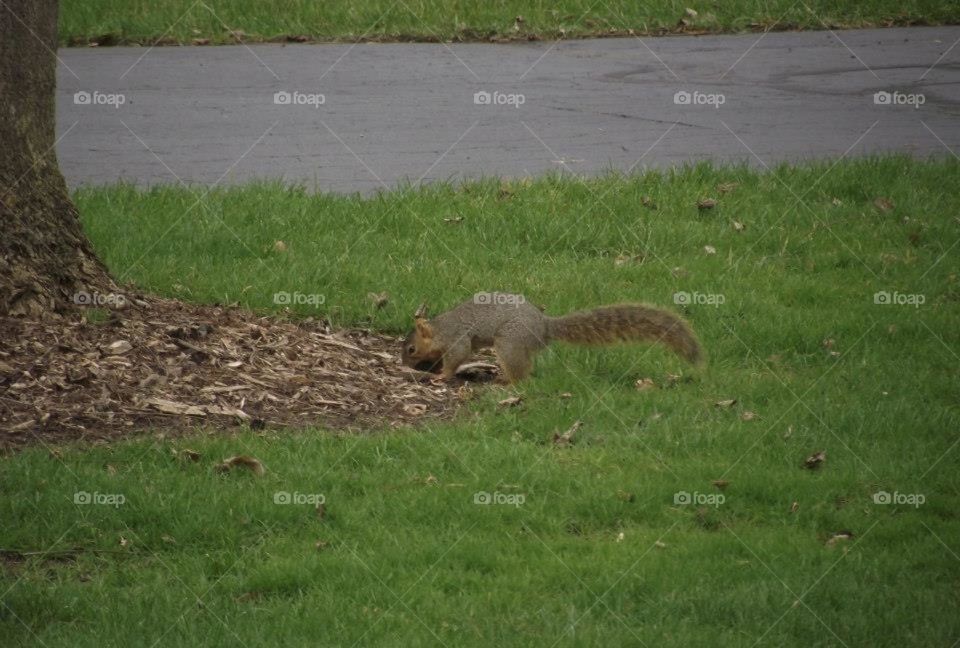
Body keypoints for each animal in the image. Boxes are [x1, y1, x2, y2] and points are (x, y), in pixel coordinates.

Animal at [401, 293, 702, 383]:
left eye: (412, 349)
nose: (404, 365)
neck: (439, 329)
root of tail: (544, 326)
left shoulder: (456, 338)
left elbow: (458, 356)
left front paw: (442, 375)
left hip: (509, 342)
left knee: (521, 372)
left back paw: (507, 383)